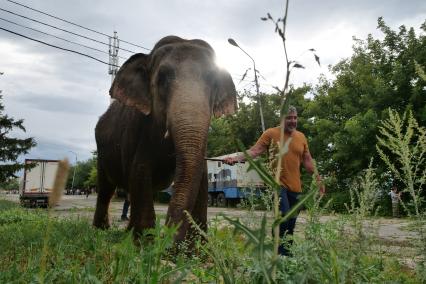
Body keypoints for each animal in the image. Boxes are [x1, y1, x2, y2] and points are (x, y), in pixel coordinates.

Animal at [92, 35, 236, 244]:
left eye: (213, 81)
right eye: (162, 79)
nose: (168, 237)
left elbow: (201, 178)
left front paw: (197, 247)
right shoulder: (137, 130)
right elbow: (140, 171)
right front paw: (144, 244)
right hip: (102, 155)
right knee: (105, 189)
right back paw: (101, 231)